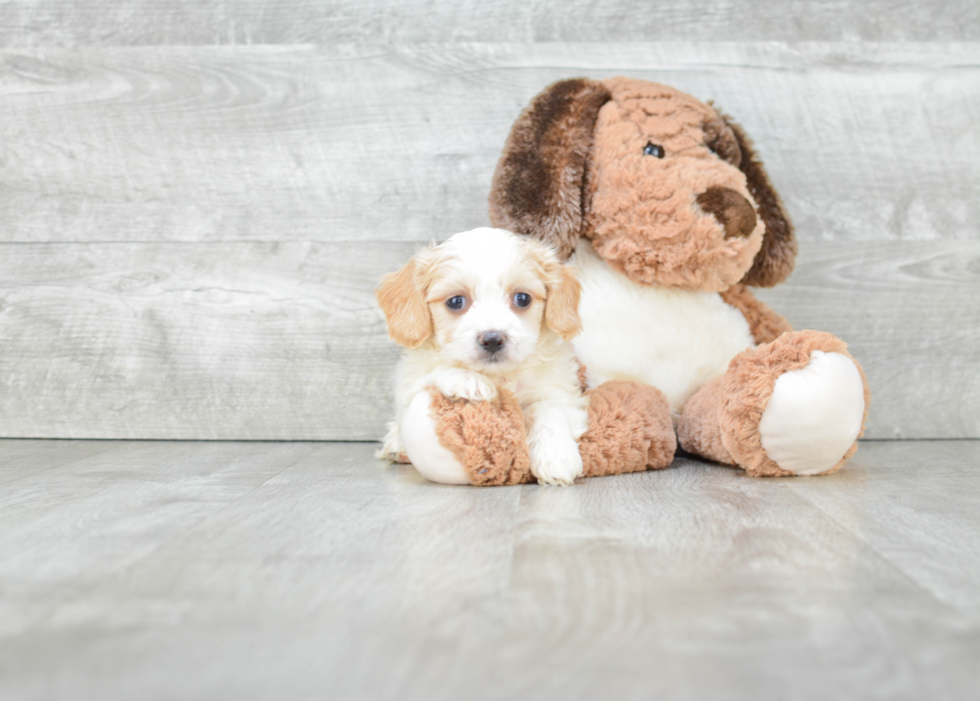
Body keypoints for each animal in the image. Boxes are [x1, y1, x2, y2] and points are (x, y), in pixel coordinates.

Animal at [376, 227, 588, 484]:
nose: (493, 339)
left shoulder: (561, 392)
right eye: (456, 301)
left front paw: (556, 457)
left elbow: (547, 408)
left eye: (522, 298)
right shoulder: (411, 378)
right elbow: (435, 370)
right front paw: (468, 380)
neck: (499, 375)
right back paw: (396, 445)